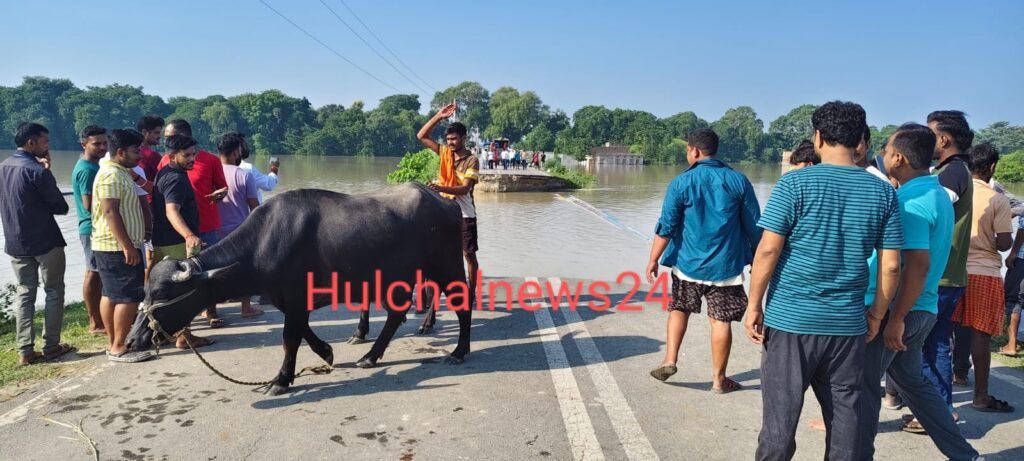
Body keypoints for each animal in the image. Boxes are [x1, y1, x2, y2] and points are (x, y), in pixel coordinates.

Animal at [129, 182, 475, 393]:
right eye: (144, 292)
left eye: (161, 294)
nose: (133, 339)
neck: (262, 244)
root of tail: (445, 203)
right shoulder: (292, 301)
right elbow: (304, 332)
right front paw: (327, 353)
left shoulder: (296, 299)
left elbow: (289, 339)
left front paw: (281, 380)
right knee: (394, 315)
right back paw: (370, 356)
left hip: (446, 266)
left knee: (462, 305)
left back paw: (459, 351)